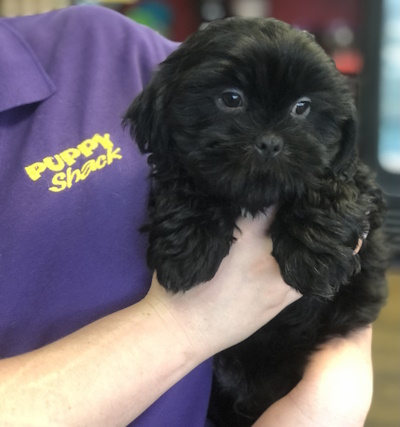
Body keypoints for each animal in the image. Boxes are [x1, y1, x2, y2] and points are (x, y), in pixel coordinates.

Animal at [124, 16, 388, 427]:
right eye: (231, 99)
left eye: (302, 107)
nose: (270, 141)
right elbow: (185, 181)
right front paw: (189, 249)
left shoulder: (357, 193)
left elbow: (330, 182)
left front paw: (313, 257)